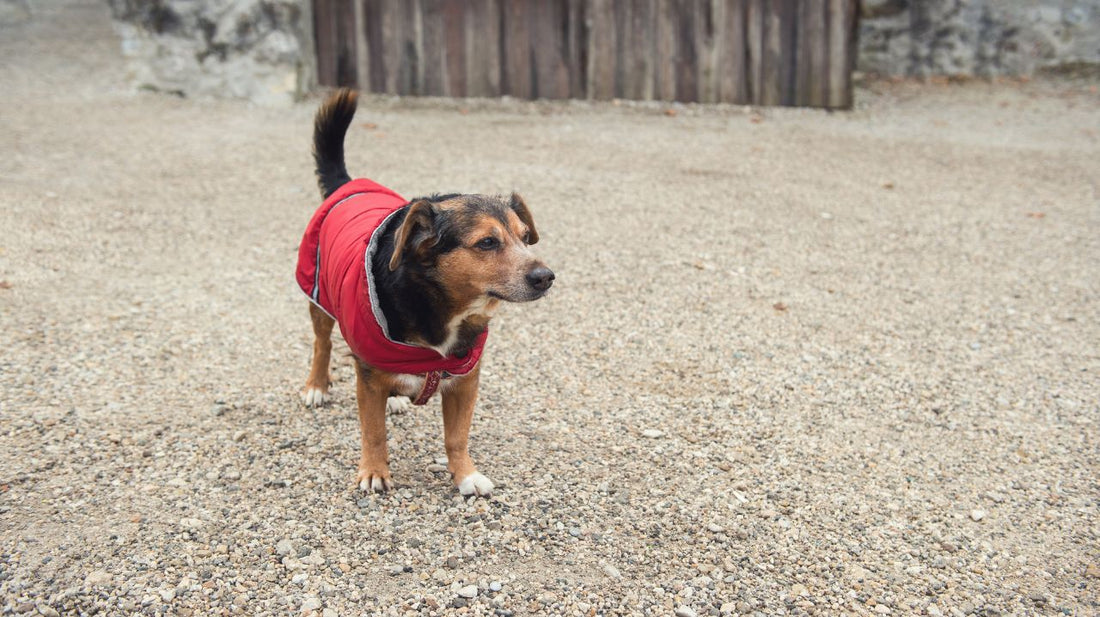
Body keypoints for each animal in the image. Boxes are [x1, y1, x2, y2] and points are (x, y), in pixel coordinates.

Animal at [294, 90, 554, 494]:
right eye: (487, 242)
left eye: (526, 238)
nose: (546, 277)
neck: (444, 307)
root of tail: (349, 185)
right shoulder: (369, 376)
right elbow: (373, 431)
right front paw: (374, 471)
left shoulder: (465, 379)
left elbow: (457, 436)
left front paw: (465, 474)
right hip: (318, 296)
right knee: (322, 345)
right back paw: (317, 386)